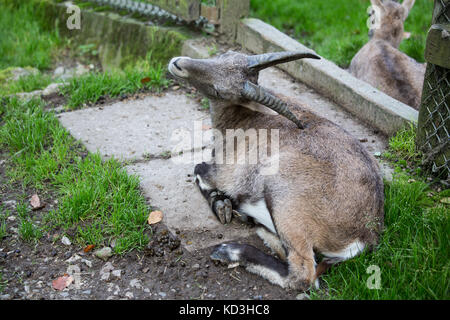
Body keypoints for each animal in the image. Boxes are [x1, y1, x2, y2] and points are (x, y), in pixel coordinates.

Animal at [167, 49, 384, 290]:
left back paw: (230, 250)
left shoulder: (224, 174)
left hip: (285, 200)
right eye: (223, 55)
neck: (243, 119)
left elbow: (199, 169)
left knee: (302, 273)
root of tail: (364, 235)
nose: (178, 63)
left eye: (219, 90)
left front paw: (221, 205)